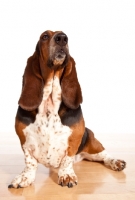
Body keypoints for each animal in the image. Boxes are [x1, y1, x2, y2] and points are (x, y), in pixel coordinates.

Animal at [8, 30, 126, 188]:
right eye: (44, 36)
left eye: (65, 36)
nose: (62, 38)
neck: (50, 102)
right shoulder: (24, 141)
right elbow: (30, 162)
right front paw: (25, 178)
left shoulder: (74, 139)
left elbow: (67, 159)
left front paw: (66, 176)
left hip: (92, 142)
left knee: (104, 155)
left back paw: (116, 162)